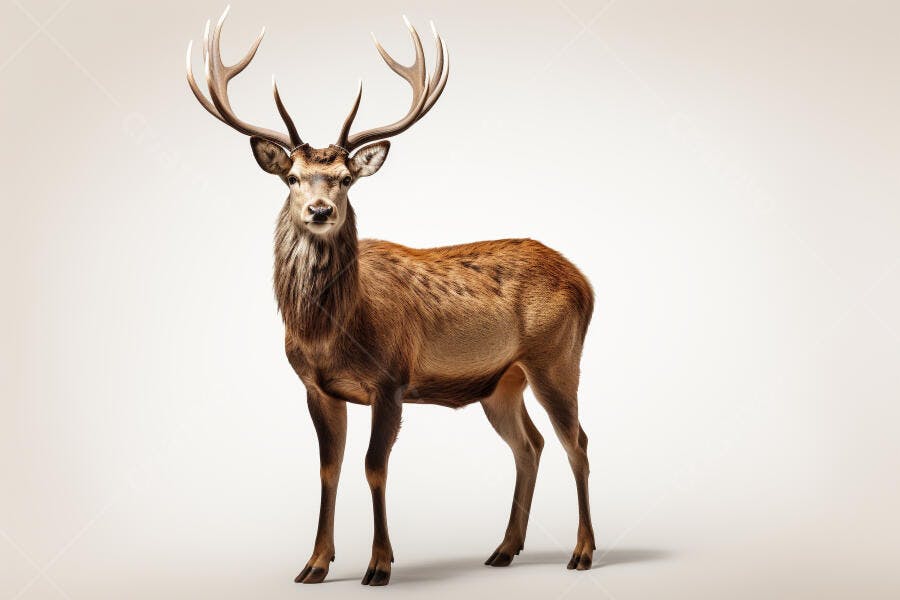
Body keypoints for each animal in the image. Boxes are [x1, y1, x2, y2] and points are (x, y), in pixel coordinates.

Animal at [186, 7, 596, 586]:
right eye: (292, 178)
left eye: (345, 179)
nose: (319, 210)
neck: (328, 333)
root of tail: (586, 282)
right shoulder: (317, 387)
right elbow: (328, 468)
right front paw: (314, 563)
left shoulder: (392, 379)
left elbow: (373, 467)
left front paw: (379, 563)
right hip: (501, 382)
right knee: (530, 445)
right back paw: (504, 548)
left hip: (556, 357)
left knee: (576, 442)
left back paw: (581, 552)